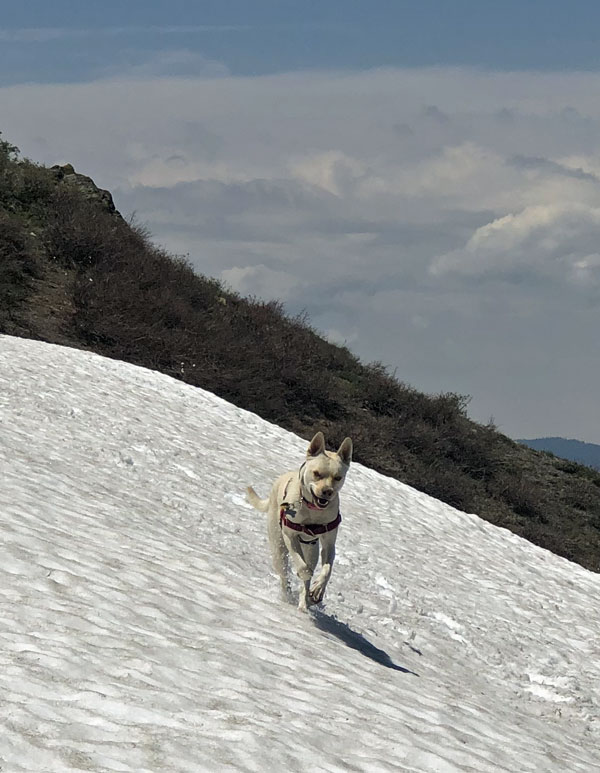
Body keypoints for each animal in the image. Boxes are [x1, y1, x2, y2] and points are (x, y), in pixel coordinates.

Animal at [247, 432, 354, 612]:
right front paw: (305, 575)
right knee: (284, 575)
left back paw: (305, 603)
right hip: (278, 547)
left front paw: (317, 589)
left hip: (311, 549)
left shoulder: (329, 543)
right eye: (317, 473)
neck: (312, 509)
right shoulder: (290, 536)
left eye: (338, 477)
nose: (327, 491)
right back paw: (289, 596)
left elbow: (327, 570)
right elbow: (302, 566)